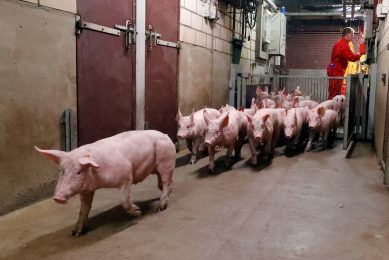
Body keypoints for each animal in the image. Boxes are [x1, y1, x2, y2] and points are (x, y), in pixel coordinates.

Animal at [35, 129, 175, 236]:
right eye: (61, 171)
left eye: (78, 172)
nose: (57, 197)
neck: (97, 181)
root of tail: (166, 135)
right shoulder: (86, 190)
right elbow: (84, 209)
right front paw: (76, 233)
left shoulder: (126, 177)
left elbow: (125, 200)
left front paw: (138, 212)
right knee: (163, 183)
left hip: (166, 162)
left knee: (168, 184)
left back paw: (160, 208)